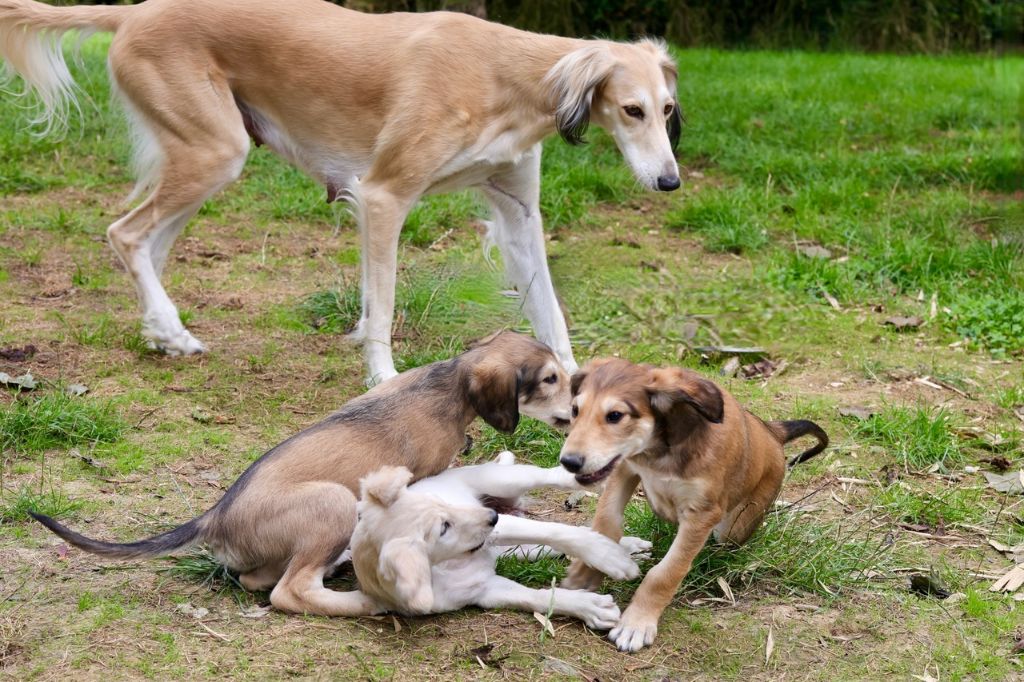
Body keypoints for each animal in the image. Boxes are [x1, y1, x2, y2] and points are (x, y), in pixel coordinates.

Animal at [2, 0, 688, 382]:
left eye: (666, 109)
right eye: (631, 110)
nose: (669, 181)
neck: (509, 74)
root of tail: (135, 9)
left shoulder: (519, 213)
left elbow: (551, 312)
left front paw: (575, 383)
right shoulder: (384, 196)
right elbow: (381, 305)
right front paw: (380, 373)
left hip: (207, 158)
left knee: (148, 245)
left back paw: (163, 332)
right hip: (214, 152)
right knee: (124, 233)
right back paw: (168, 327)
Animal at [32, 329, 573, 614]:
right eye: (550, 379)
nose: (575, 412)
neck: (446, 384)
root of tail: (213, 517)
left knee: (258, 581)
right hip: (333, 502)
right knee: (287, 591)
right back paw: (361, 600)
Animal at [346, 450, 647, 626]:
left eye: (440, 503)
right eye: (443, 528)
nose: (491, 515)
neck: (447, 565)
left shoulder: (500, 526)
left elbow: (557, 531)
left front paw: (609, 557)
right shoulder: (486, 590)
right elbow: (538, 598)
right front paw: (589, 607)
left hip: (505, 481)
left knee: (550, 477)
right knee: (537, 548)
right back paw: (627, 545)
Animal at [557, 356, 827, 647]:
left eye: (615, 416)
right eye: (575, 410)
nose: (569, 462)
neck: (659, 452)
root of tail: (772, 431)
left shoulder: (702, 514)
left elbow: (666, 572)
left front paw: (636, 623)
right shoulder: (624, 468)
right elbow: (606, 521)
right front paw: (588, 572)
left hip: (734, 527)